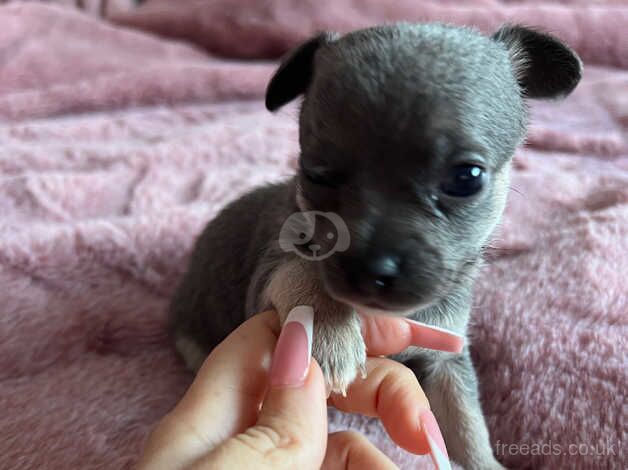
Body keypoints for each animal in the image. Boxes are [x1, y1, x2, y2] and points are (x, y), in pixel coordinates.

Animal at [169, 22, 580, 470]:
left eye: (466, 178)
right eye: (317, 174)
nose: (373, 268)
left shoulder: (445, 360)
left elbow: (467, 426)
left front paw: (484, 462)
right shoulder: (264, 286)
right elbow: (299, 266)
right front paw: (328, 326)